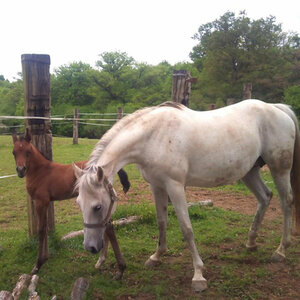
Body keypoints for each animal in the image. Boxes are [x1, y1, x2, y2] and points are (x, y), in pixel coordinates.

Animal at [73, 100, 300, 290]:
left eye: (97, 206)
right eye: (79, 203)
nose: (90, 247)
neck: (153, 137)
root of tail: (278, 108)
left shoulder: (175, 186)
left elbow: (186, 228)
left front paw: (198, 275)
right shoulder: (157, 186)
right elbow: (162, 221)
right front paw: (156, 256)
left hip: (279, 169)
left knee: (286, 202)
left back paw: (281, 250)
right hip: (249, 172)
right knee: (265, 197)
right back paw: (251, 242)